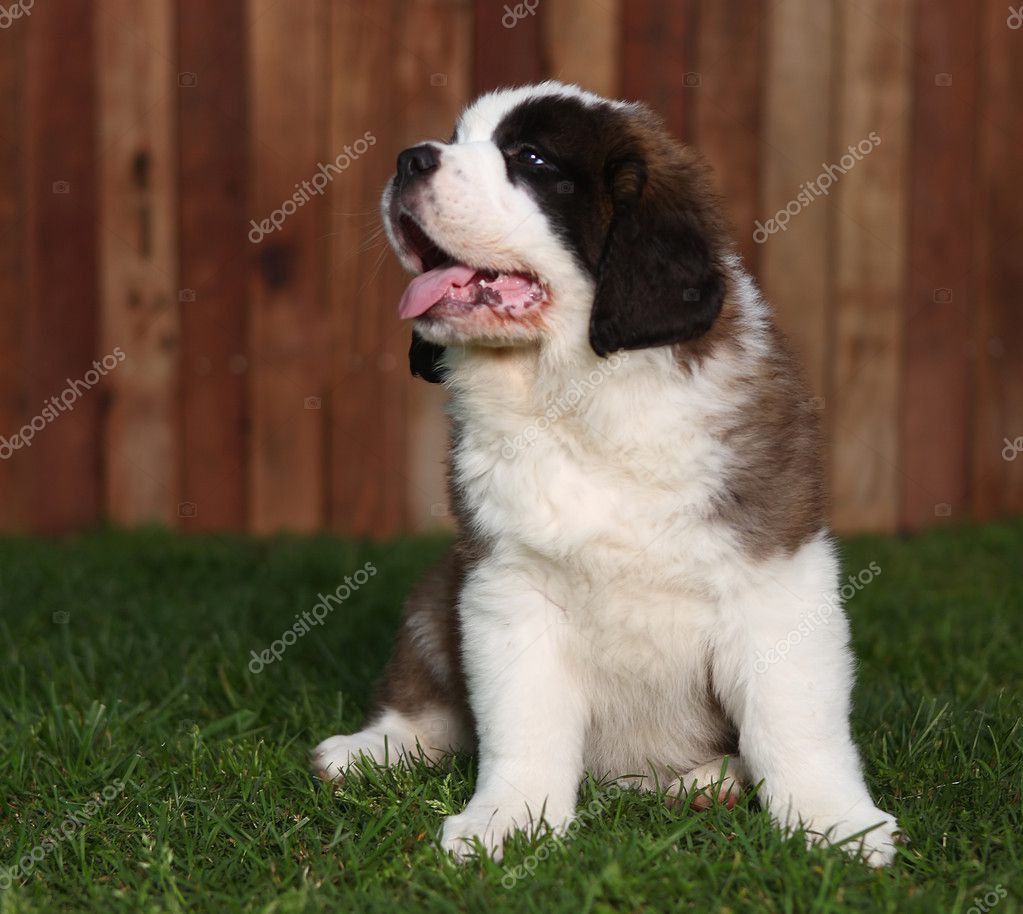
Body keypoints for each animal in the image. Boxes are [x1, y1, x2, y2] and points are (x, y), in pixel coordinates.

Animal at [313, 81, 904, 867]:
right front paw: (509, 819)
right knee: (433, 690)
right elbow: (520, 721)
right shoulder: (507, 583)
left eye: (531, 159)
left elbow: (794, 718)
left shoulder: (775, 575)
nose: (409, 159)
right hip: (439, 589)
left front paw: (833, 822)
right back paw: (372, 748)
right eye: (457, 138)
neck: (579, 394)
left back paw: (709, 780)